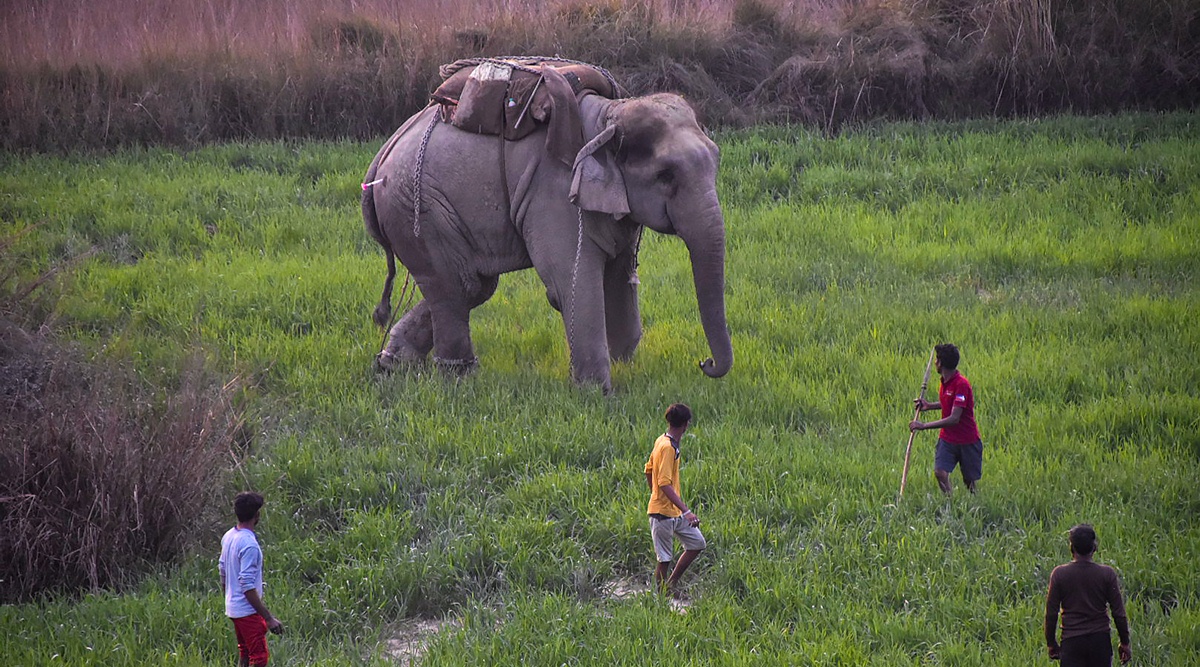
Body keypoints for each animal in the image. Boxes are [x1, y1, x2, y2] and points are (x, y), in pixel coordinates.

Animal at [357, 80, 729, 393]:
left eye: (716, 160)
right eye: (666, 175)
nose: (705, 362)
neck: (610, 116)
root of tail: (378, 161)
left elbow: (619, 275)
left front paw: (623, 363)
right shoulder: (554, 193)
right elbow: (571, 282)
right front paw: (597, 395)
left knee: (473, 287)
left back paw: (392, 364)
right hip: (418, 207)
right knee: (457, 287)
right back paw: (458, 379)